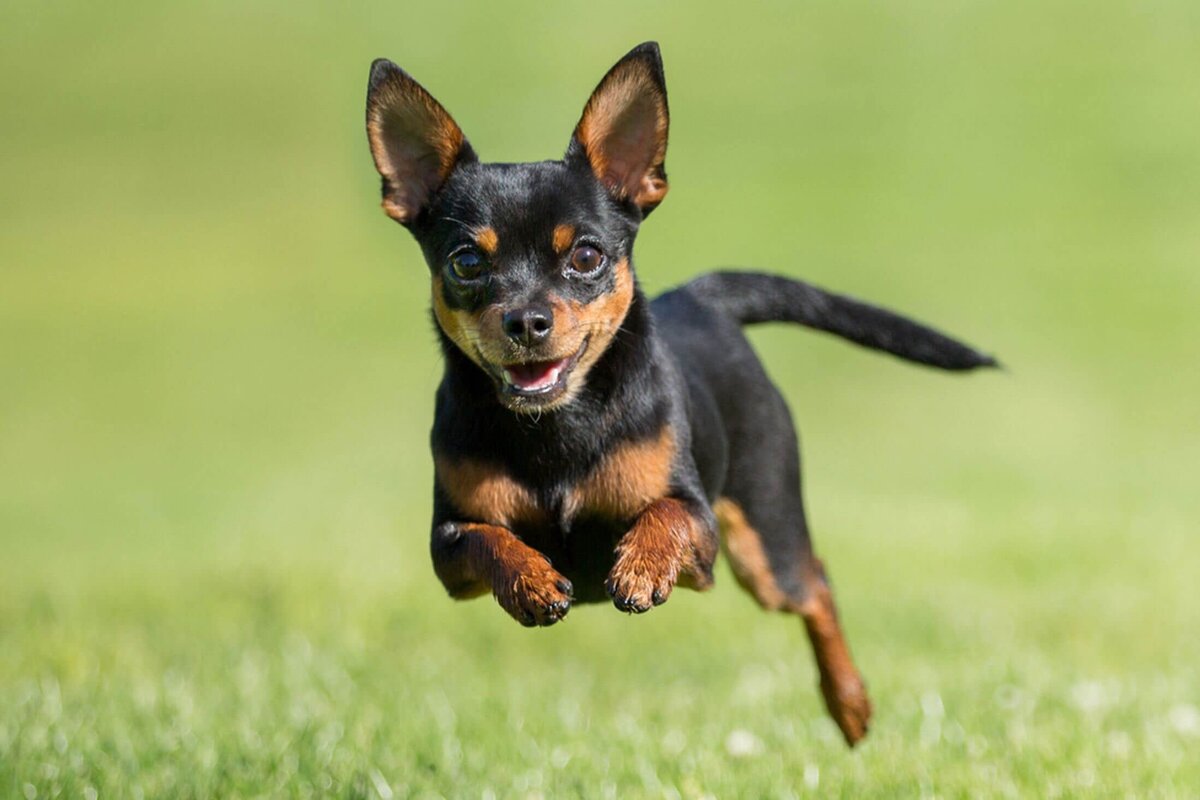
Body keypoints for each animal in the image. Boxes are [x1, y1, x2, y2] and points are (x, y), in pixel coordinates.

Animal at [362, 42, 993, 743]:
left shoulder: (703, 539)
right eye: (467, 263)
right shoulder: (447, 549)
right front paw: (530, 580)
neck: (557, 426)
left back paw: (849, 703)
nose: (526, 321)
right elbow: (486, 538)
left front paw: (640, 567)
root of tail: (701, 298)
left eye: (587, 257)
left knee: (814, 583)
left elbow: (667, 513)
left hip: (764, 545)